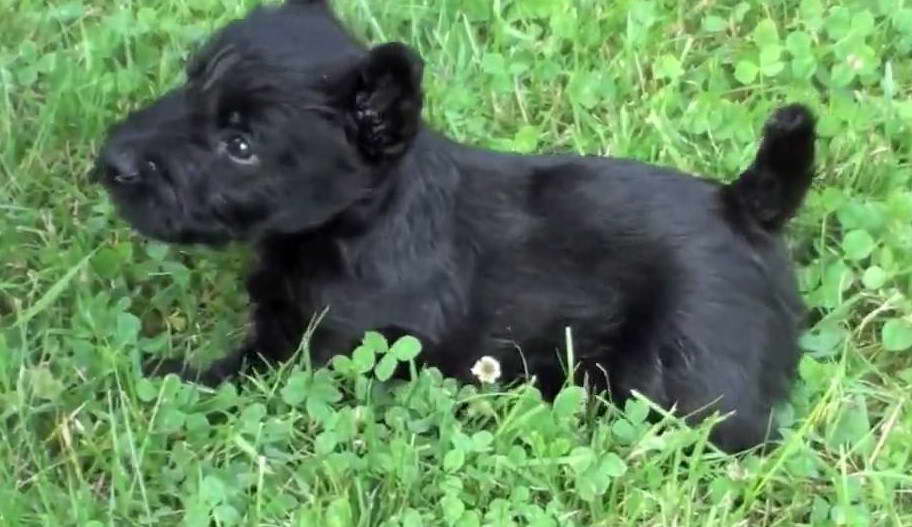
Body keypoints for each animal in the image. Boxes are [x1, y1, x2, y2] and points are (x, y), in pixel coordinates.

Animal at [96, 0, 816, 454]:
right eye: (188, 83)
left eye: (240, 145)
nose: (110, 162)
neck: (365, 218)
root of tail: (745, 204)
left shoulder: (313, 351)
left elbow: (230, 376)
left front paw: (157, 373)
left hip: (685, 384)